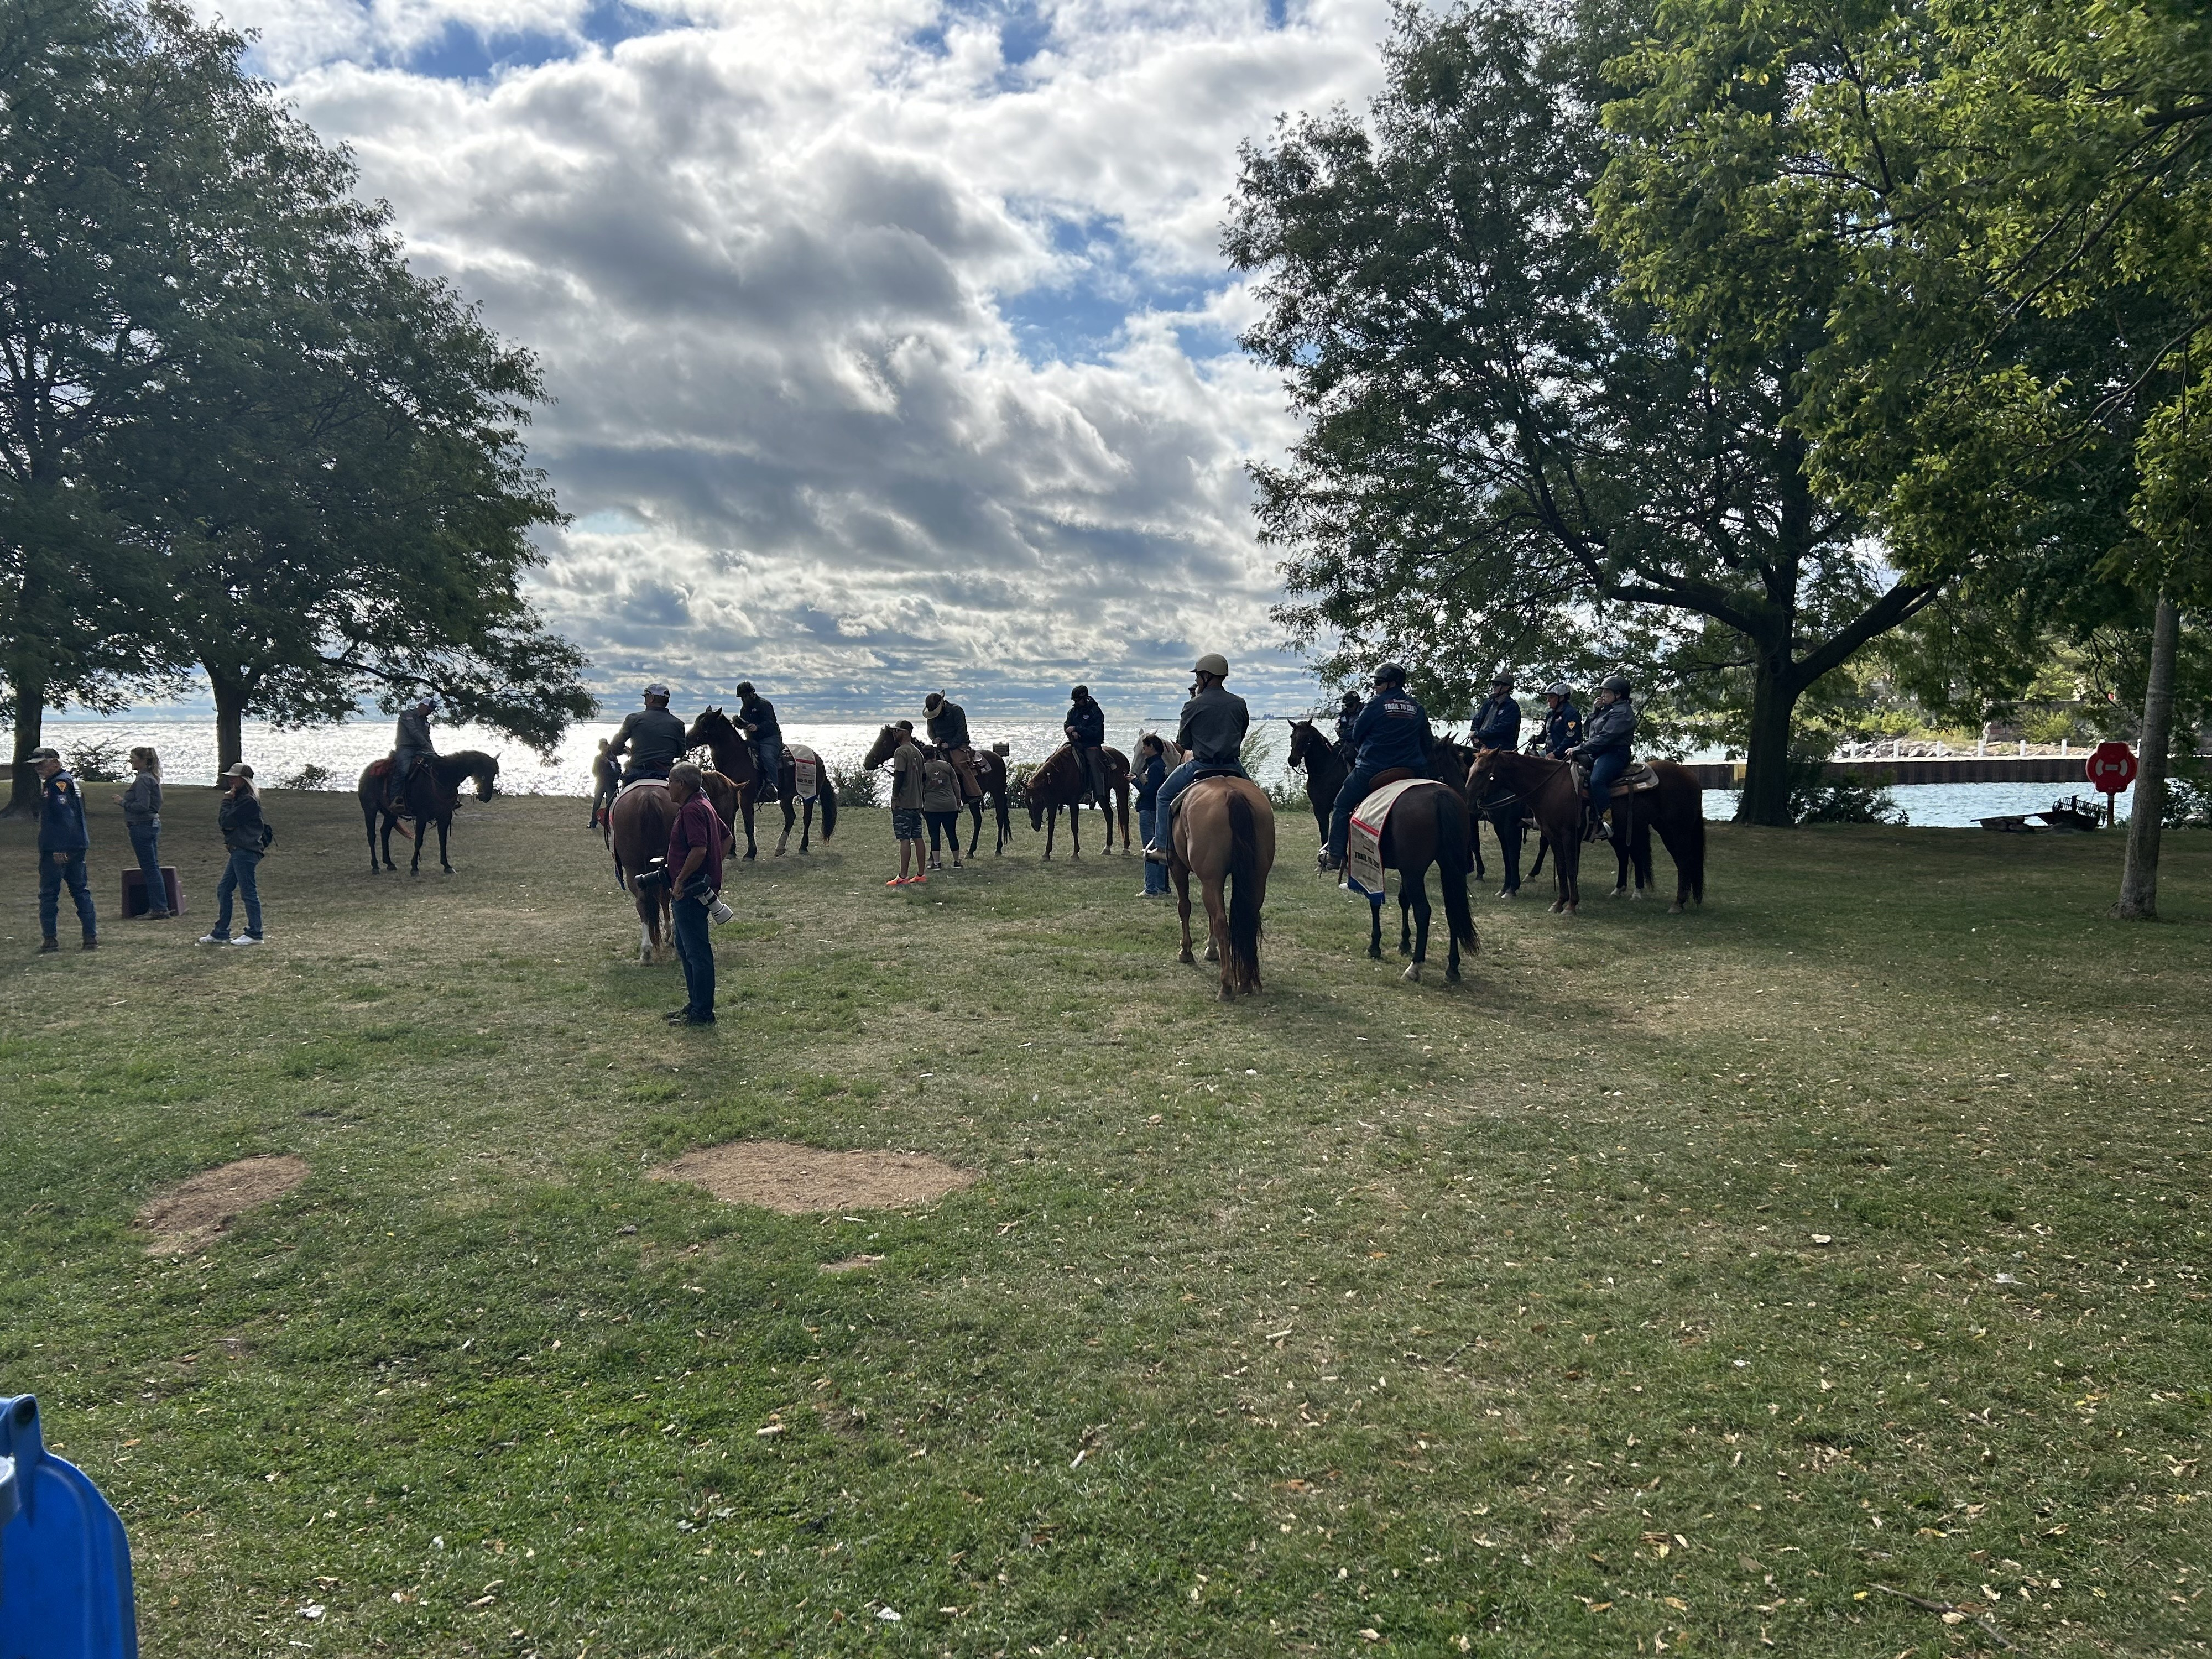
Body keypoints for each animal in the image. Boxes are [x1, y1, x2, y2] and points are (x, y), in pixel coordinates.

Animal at [681, 708, 836, 858]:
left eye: (705, 724)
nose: (686, 741)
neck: (736, 758)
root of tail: (817, 758)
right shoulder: (732, 799)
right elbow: (731, 823)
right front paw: (732, 851)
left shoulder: (746, 799)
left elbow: (748, 825)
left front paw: (751, 853)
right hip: (786, 797)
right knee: (790, 817)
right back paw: (780, 848)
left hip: (808, 795)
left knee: (806, 819)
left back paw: (803, 846)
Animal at [863, 726, 1018, 858]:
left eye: (884, 742)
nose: (867, 763)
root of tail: (998, 757)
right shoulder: (926, 809)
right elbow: (933, 831)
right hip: (975, 800)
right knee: (978, 821)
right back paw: (970, 851)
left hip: (998, 793)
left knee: (999, 819)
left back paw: (998, 849)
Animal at [1022, 748, 1133, 863]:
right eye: (1026, 801)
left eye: (1039, 800)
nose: (1035, 825)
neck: (1061, 773)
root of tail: (1122, 756)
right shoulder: (1052, 804)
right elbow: (1051, 827)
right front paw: (1047, 853)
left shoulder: (1073, 803)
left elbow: (1074, 826)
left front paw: (1075, 853)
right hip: (1103, 795)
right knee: (1109, 815)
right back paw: (1107, 847)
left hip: (1121, 789)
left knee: (1125, 815)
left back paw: (1126, 848)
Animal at [1159, 779, 1283, 1000]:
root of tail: (1232, 793)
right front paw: (1211, 950)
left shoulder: (1178, 868)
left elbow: (1184, 907)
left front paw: (1186, 951)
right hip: (1256, 878)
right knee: (1247, 918)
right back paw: (1245, 982)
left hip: (1210, 880)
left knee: (1220, 922)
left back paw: (1226, 985)